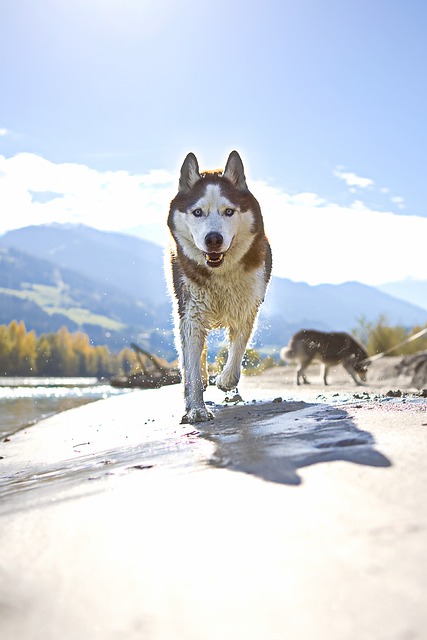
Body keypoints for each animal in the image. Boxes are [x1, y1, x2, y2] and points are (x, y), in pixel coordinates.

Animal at [167, 148, 270, 422]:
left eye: (229, 212)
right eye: (197, 212)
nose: (213, 239)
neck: (220, 274)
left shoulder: (248, 303)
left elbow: (238, 346)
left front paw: (226, 380)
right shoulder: (191, 311)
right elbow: (191, 363)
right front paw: (195, 408)